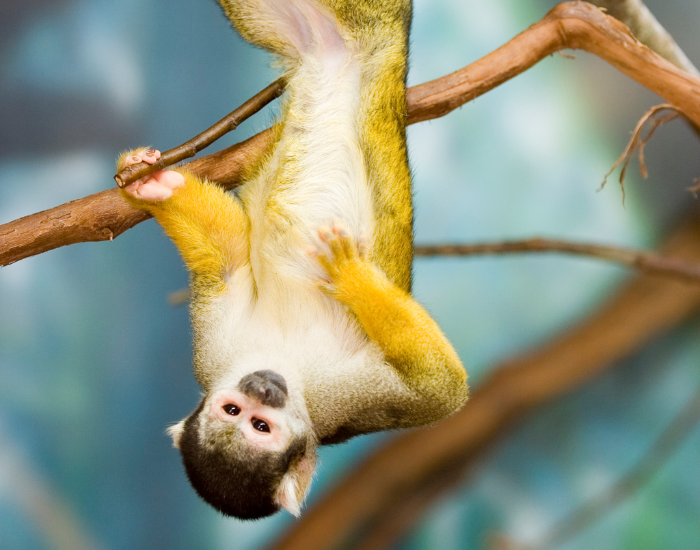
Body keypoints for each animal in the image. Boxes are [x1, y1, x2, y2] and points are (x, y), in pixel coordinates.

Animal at [117, 0, 468, 520]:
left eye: (259, 425)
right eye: (236, 413)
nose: (262, 388)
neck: (282, 361)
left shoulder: (350, 402)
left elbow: (442, 389)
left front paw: (351, 276)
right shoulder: (214, 357)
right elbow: (229, 258)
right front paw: (158, 190)